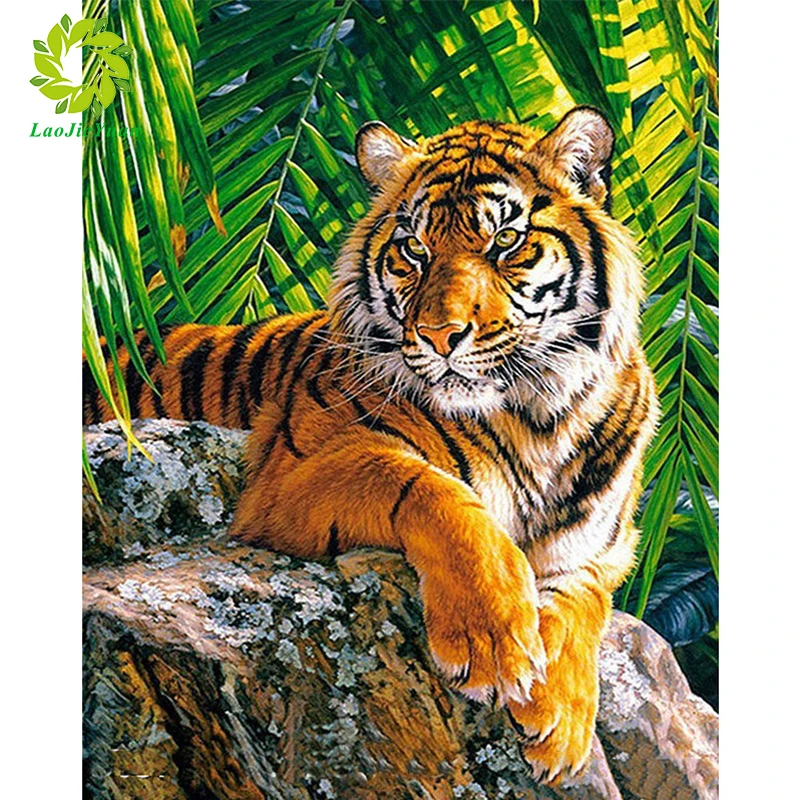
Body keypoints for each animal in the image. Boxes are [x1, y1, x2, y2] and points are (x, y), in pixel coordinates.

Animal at [83, 107, 658, 785]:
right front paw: (493, 641)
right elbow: (436, 492)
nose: (440, 335)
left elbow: (582, 598)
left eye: (505, 242)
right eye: (415, 249)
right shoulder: (288, 475)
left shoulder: (607, 545)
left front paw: (563, 722)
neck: (538, 415)